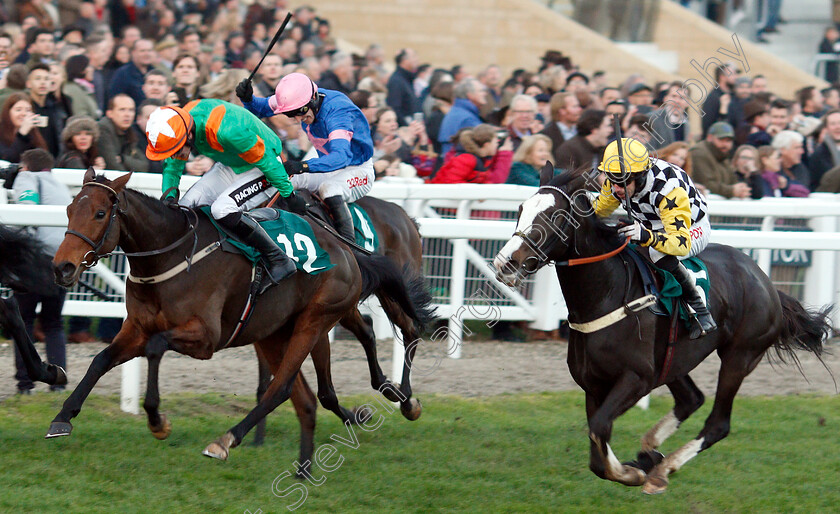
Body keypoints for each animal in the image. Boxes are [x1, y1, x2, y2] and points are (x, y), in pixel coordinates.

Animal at [50, 170, 434, 462]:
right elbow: (101, 360)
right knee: (324, 384)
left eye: (100, 214)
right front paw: (63, 417)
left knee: (397, 333)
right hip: (285, 328)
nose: (62, 267)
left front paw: (157, 419)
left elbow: (157, 348)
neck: (173, 254)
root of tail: (347, 249)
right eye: (69, 209)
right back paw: (369, 409)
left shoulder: (206, 338)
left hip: (319, 318)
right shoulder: (137, 328)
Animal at [488, 169, 832, 492]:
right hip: (673, 359)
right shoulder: (594, 384)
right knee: (691, 399)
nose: (506, 263)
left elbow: (599, 429)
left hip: (740, 355)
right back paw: (651, 451)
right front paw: (638, 464)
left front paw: (634, 472)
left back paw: (664, 468)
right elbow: (597, 449)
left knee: (718, 423)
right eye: (521, 209)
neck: (607, 295)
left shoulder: (637, 377)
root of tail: (767, 282)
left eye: (554, 217)